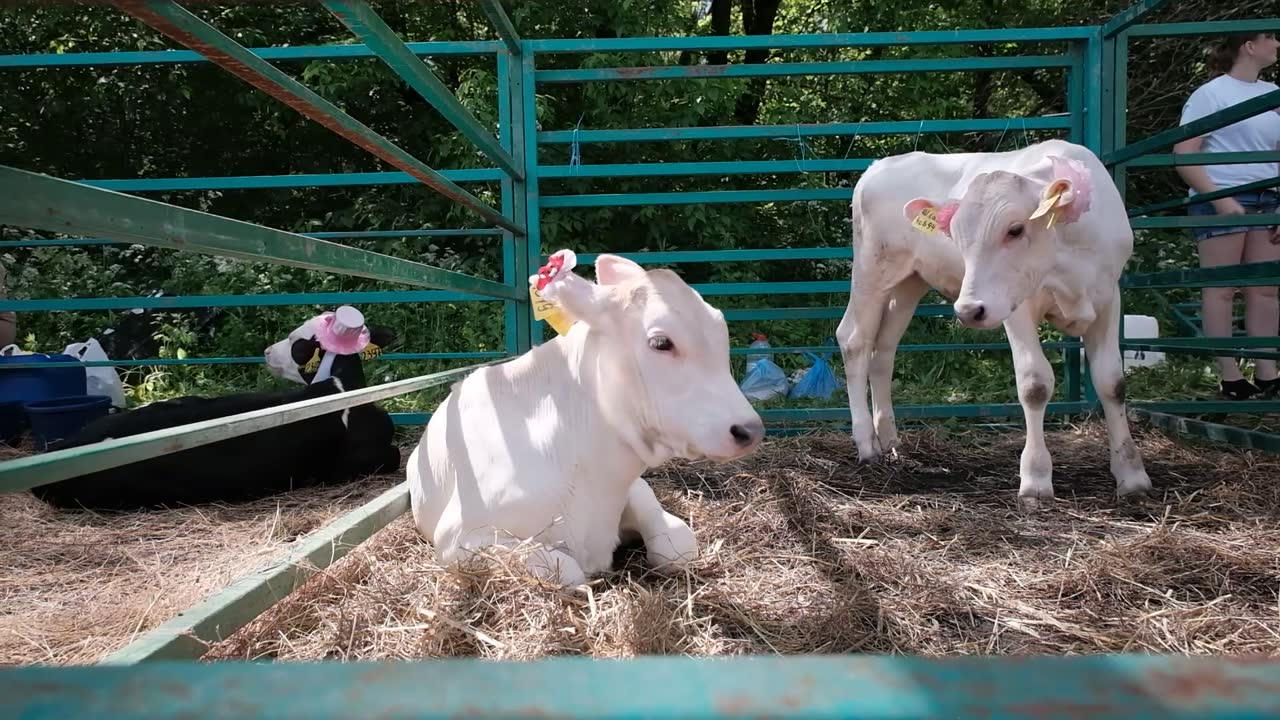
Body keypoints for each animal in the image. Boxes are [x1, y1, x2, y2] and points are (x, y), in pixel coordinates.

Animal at [407, 245, 757, 584]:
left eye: (719, 328)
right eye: (661, 342)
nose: (749, 429)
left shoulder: (636, 490)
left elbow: (677, 547)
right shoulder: (459, 538)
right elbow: (566, 569)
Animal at [834, 139, 1157, 504]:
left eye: (1015, 229)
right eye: (956, 236)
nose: (967, 309)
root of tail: (878, 167)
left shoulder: (1107, 297)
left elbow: (1112, 382)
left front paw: (1131, 474)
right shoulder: (1016, 304)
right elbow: (1034, 384)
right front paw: (1035, 479)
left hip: (909, 282)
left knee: (884, 350)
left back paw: (888, 437)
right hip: (872, 269)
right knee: (854, 338)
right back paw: (866, 443)